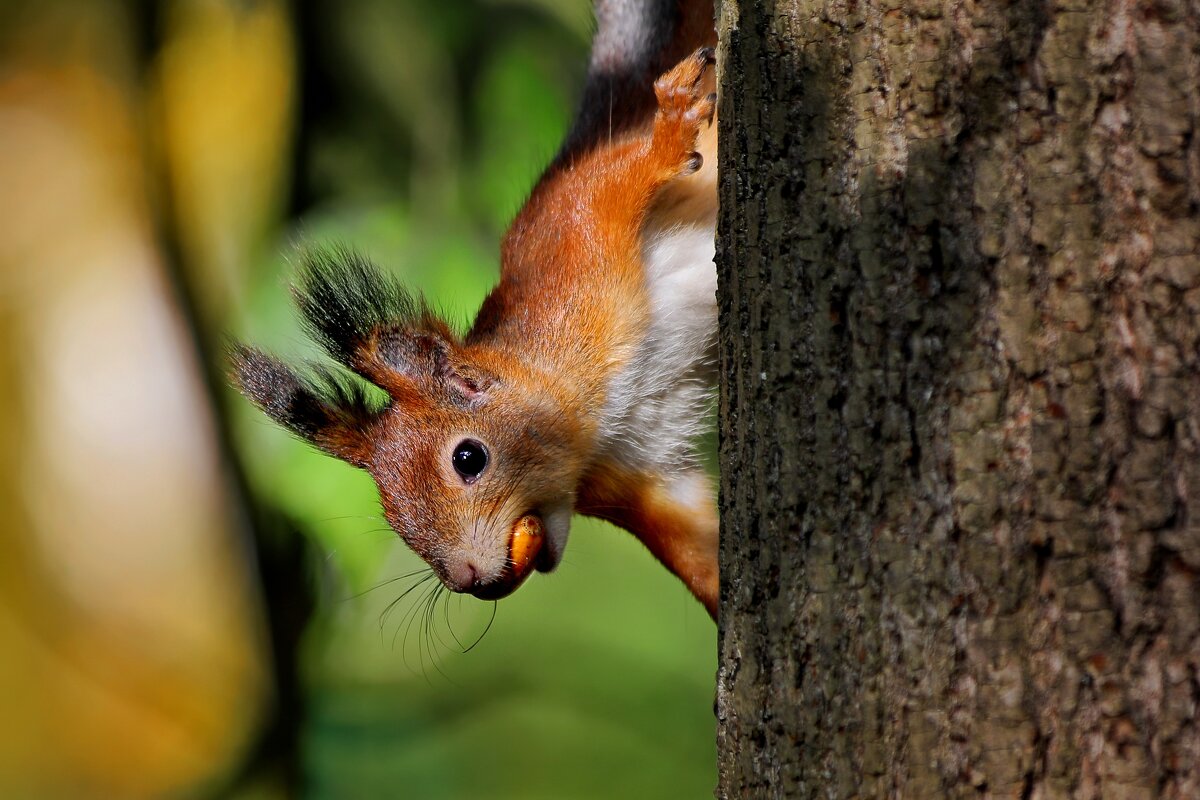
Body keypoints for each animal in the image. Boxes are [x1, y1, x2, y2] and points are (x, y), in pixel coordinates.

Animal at [230, 0, 715, 618]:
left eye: (469, 458)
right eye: (390, 514)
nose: (470, 579)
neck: (595, 416)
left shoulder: (574, 226)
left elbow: (623, 173)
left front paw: (670, 131)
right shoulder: (641, 470)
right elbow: (701, 546)